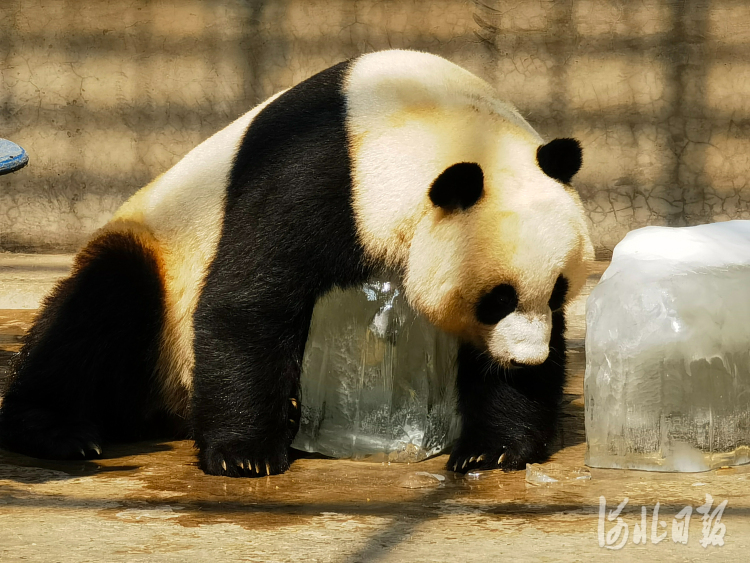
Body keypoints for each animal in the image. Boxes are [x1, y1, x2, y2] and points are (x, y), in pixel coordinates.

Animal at [0, 50, 596, 478]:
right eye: (496, 299)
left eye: (559, 290)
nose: (525, 359)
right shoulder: (317, 173)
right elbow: (250, 299)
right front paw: (244, 453)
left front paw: (491, 449)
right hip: (155, 261)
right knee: (104, 307)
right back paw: (61, 431)